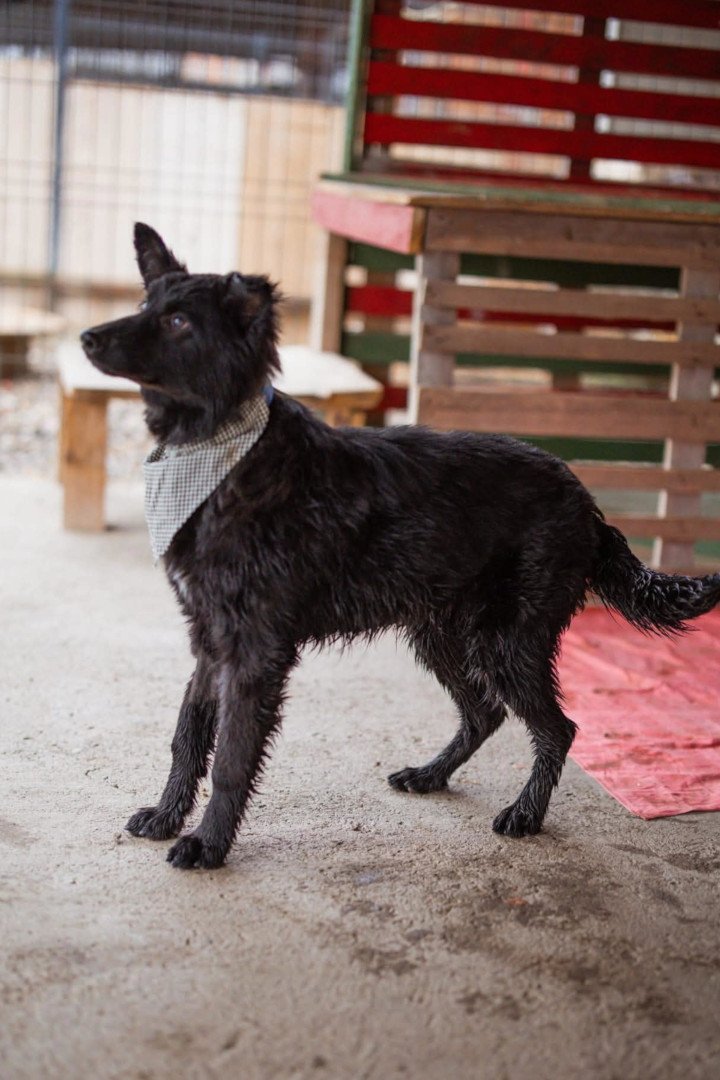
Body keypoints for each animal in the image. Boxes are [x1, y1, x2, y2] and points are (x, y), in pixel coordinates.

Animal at [80, 223, 720, 870]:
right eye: (146, 305)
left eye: (179, 321)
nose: (86, 337)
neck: (221, 454)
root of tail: (586, 502)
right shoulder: (211, 639)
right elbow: (187, 735)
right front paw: (167, 816)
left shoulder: (254, 651)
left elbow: (233, 755)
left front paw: (209, 843)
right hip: (441, 634)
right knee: (485, 711)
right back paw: (432, 775)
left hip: (506, 642)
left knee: (556, 728)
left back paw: (526, 814)